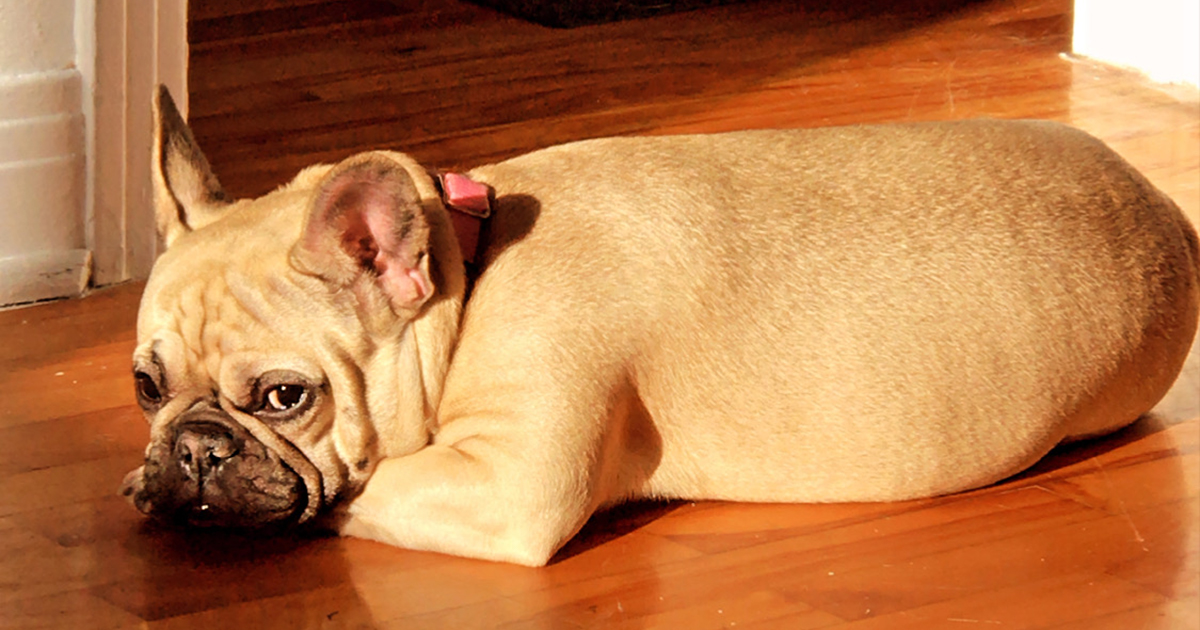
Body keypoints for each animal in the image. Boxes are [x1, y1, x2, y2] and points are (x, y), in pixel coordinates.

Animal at [124, 84, 1200, 564]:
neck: (467, 277)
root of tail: (1166, 212)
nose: (195, 449)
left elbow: (359, 487)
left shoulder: (503, 486)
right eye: (145, 385)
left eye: (284, 397)